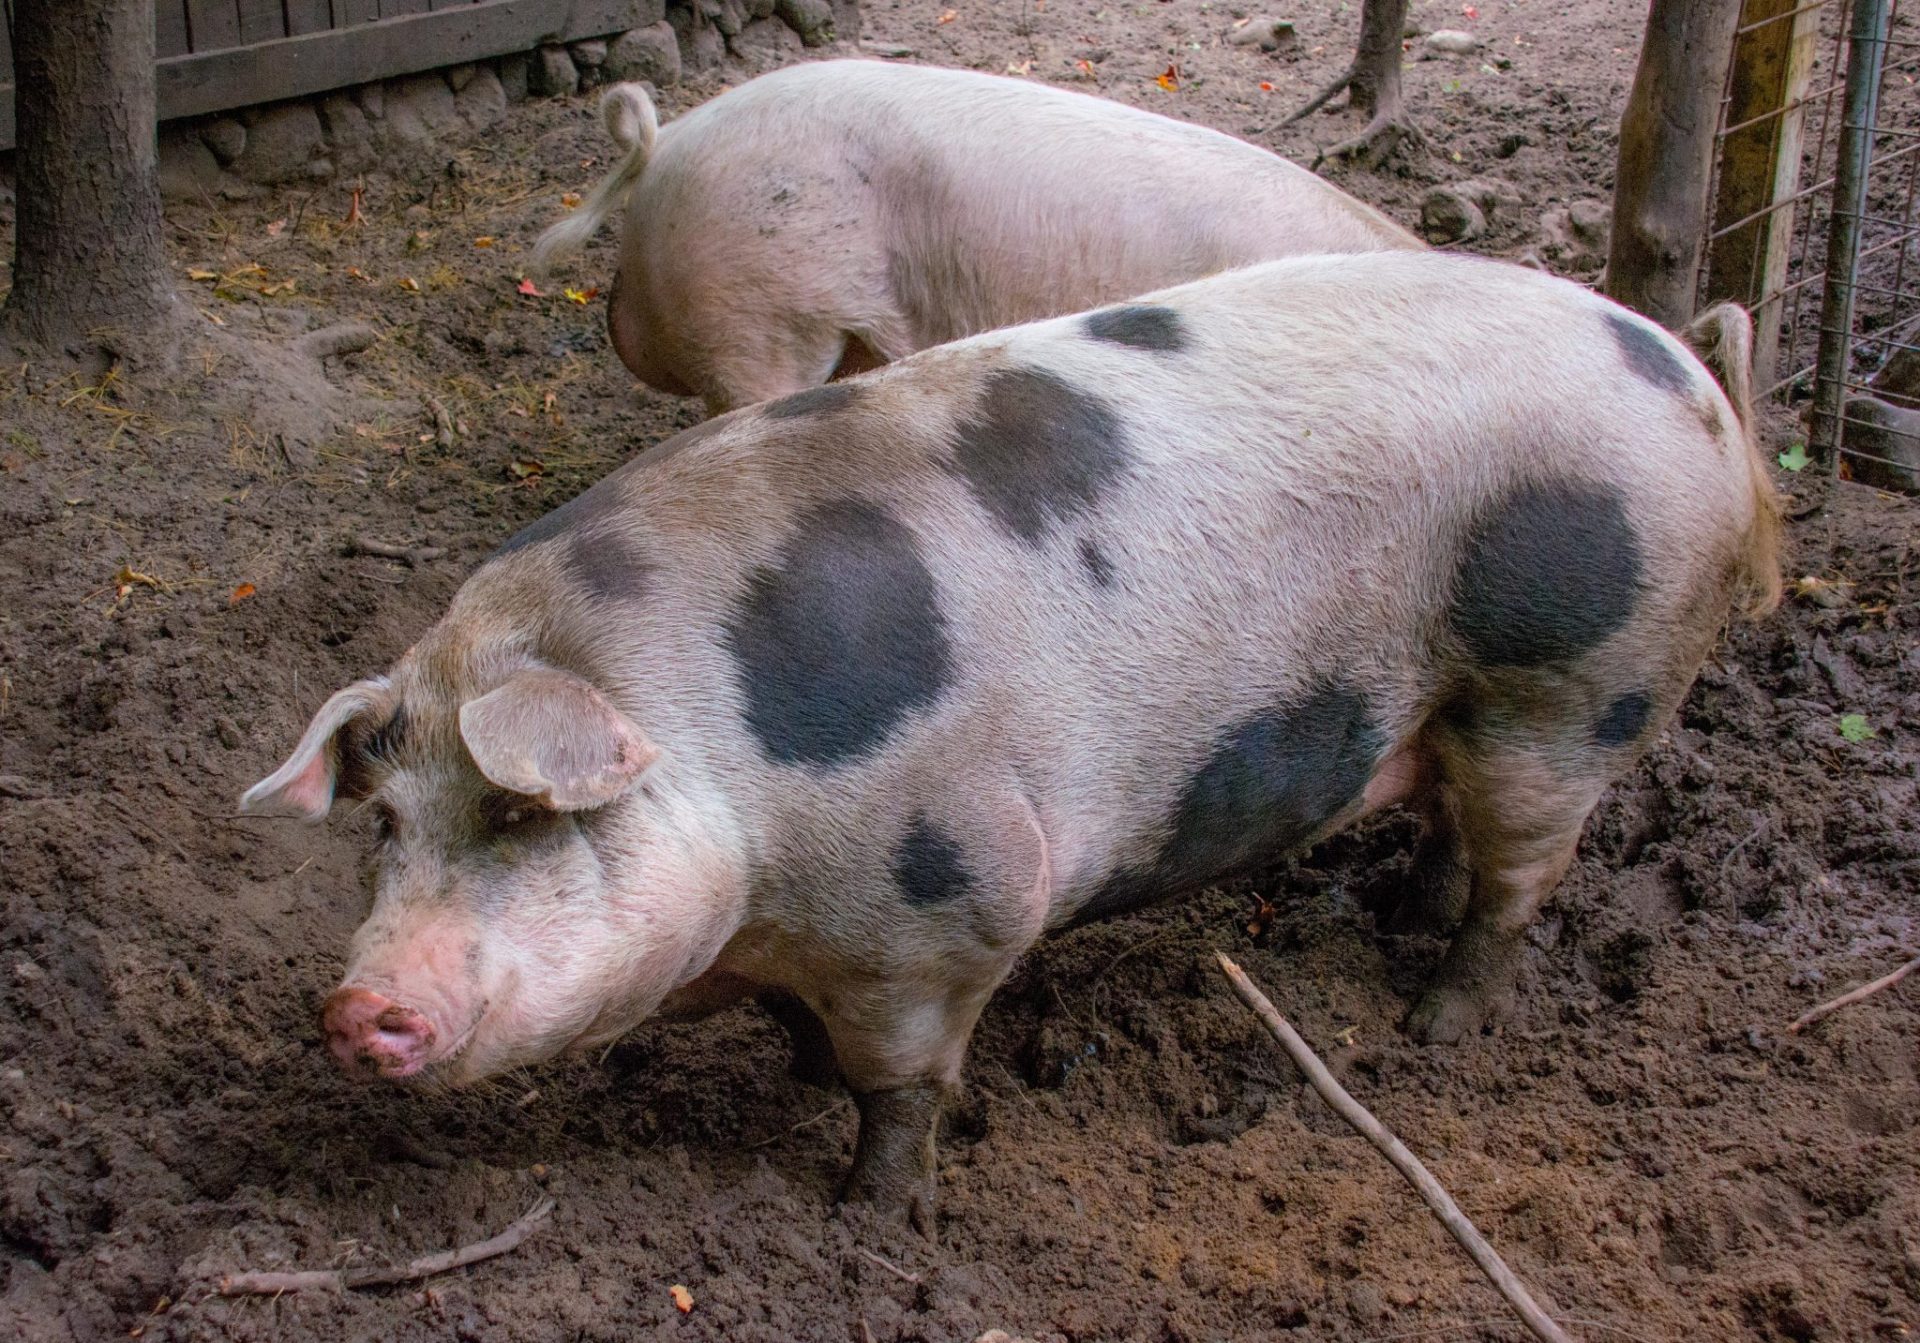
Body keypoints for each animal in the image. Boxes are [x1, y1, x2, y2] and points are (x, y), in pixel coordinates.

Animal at [243, 251, 1781, 1221]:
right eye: (387, 825)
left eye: (526, 813)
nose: (356, 1003)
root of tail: (1692, 378)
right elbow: (811, 1036)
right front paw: (800, 1080)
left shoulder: (955, 893)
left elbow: (901, 1084)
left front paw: (869, 1219)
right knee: (1450, 819)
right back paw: (1401, 921)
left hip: (1578, 681)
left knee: (1523, 870)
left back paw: (1434, 1025)